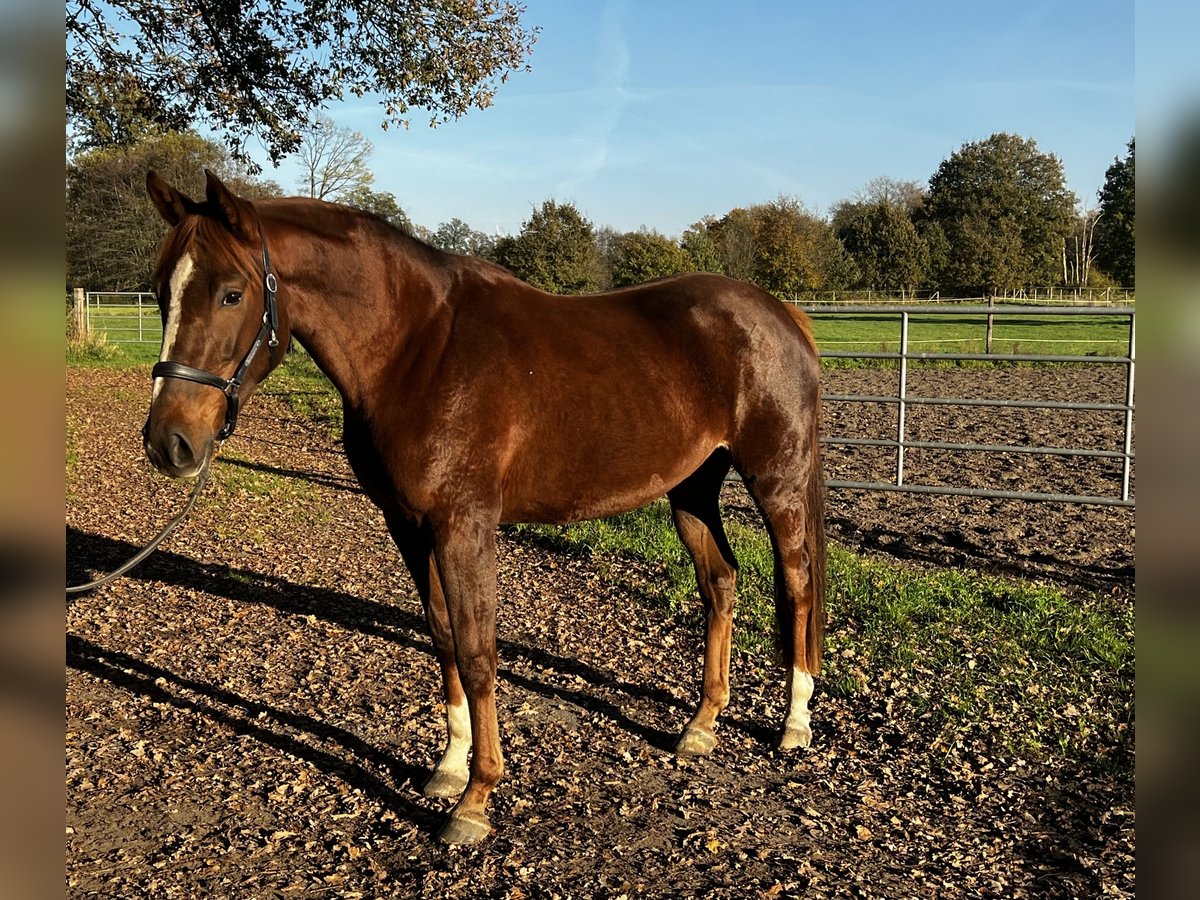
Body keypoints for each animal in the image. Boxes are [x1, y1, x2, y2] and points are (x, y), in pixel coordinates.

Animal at [140, 170, 825, 844]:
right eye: (161, 293)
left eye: (231, 295)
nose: (169, 442)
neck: (417, 349)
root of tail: (781, 313)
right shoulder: (409, 526)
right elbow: (443, 637)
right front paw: (448, 767)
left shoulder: (464, 527)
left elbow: (476, 652)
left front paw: (475, 799)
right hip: (691, 490)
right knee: (721, 582)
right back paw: (701, 726)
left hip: (776, 482)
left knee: (796, 585)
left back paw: (794, 723)